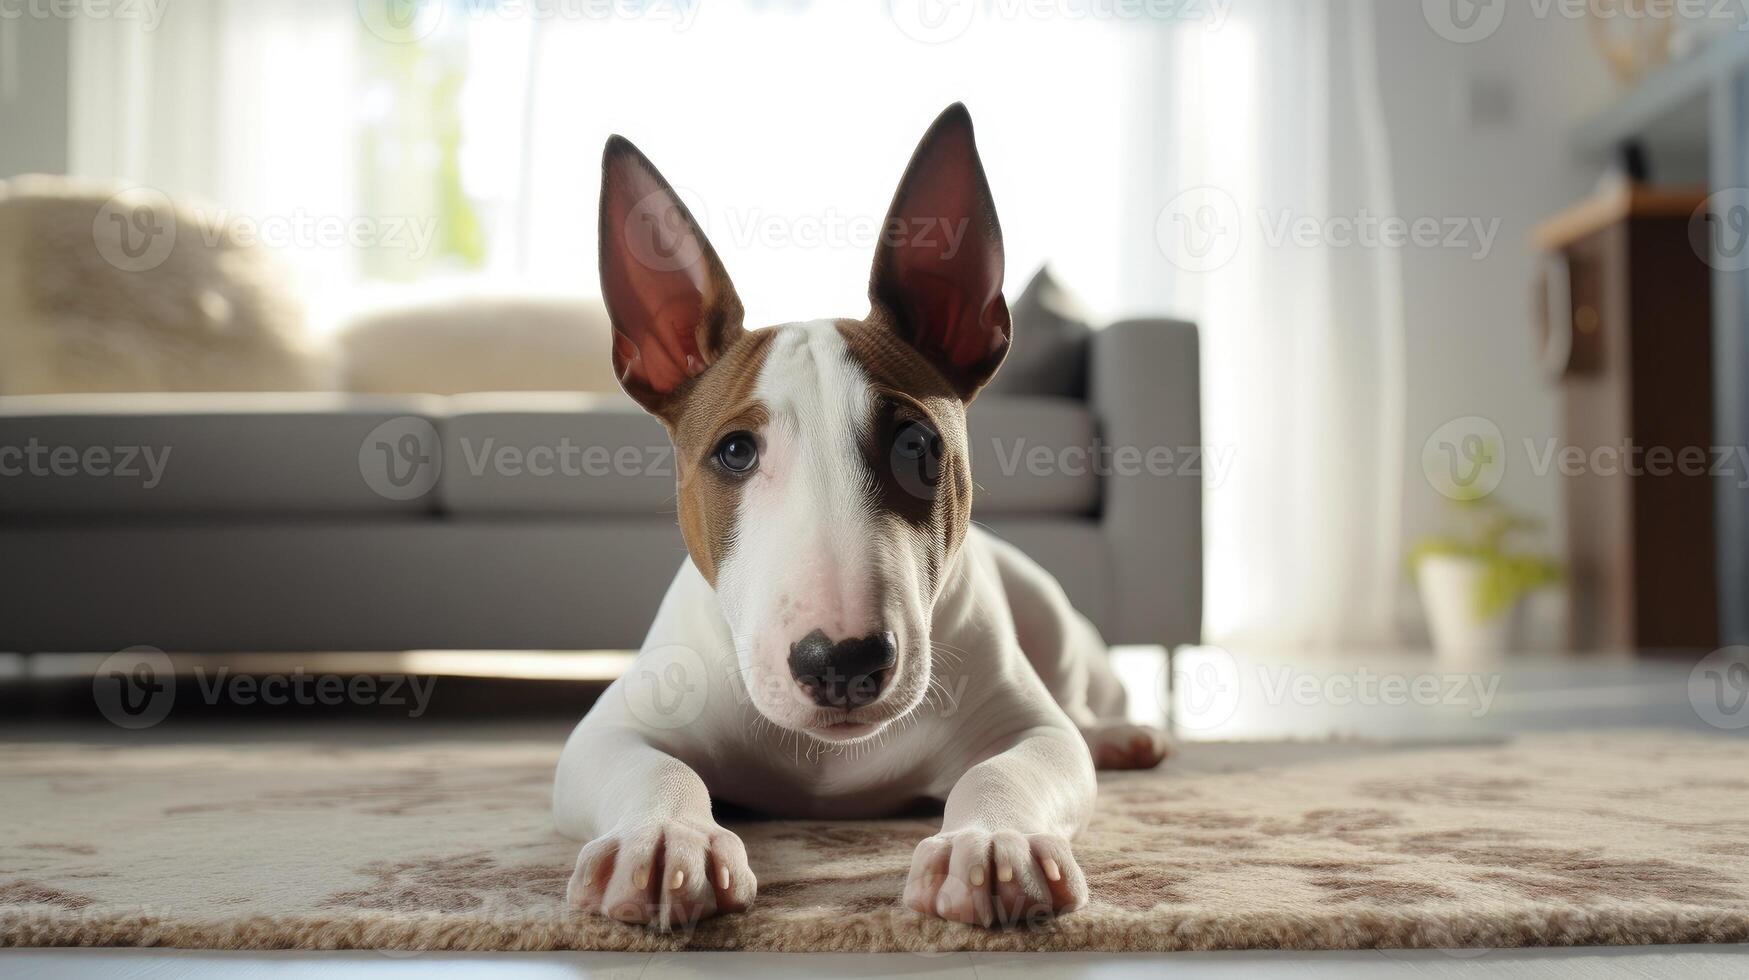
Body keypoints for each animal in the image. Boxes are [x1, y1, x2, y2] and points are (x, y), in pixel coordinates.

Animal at [552, 103, 1168, 931]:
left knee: (1078, 704)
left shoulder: (1029, 731)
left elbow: (1007, 769)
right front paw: (664, 844)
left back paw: (1119, 737)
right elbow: (651, 769)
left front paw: (990, 845)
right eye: (735, 452)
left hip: (1049, 615)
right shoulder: (609, 731)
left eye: (915, 444)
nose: (841, 664)